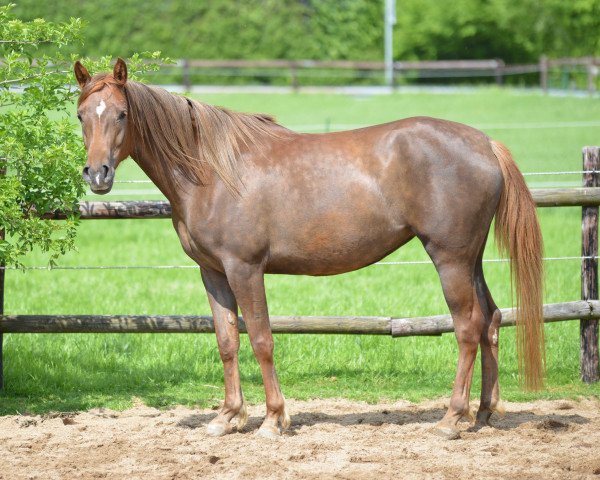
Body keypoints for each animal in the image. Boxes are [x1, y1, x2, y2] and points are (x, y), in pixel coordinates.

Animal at [74, 59, 544, 438]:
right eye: (81, 115)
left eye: (121, 113)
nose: (98, 174)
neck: (212, 171)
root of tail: (485, 144)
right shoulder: (213, 272)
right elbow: (227, 341)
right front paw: (227, 417)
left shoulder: (245, 268)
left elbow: (261, 338)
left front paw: (272, 419)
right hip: (471, 259)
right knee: (491, 319)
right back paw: (483, 414)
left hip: (449, 258)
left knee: (467, 326)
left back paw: (451, 419)